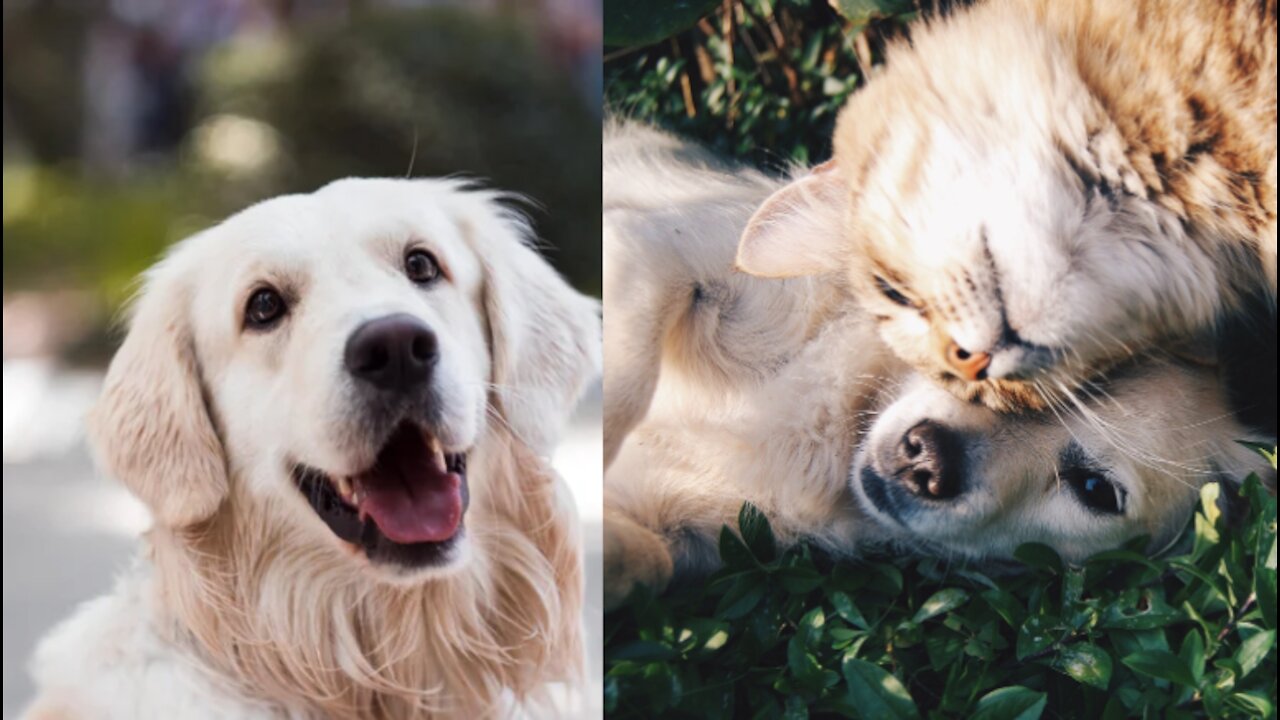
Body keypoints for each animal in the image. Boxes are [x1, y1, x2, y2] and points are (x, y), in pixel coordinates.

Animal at [604, 122, 1274, 604]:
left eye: (1094, 490)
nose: (925, 459)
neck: (836, 424)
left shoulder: (691, 538)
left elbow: (650, 560)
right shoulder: (654, 248)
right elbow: (622, 385)